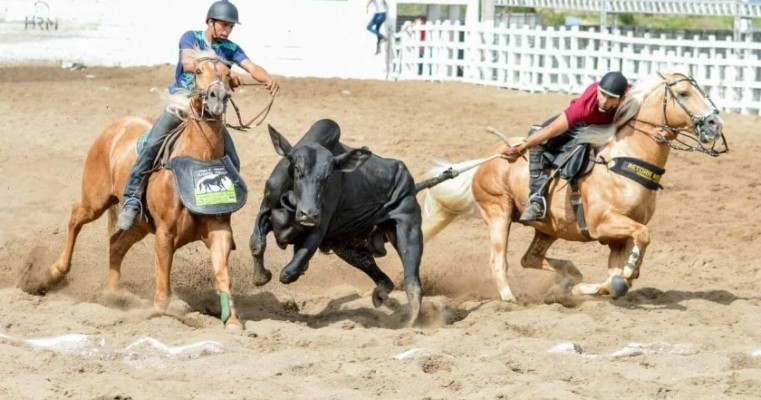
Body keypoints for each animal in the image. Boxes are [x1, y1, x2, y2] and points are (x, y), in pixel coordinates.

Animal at [41, 49, 243, 328]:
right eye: (198, 71)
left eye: (227, 73)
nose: (217, 97)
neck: (199, 160)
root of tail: (116, 126)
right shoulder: (165, 233)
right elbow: (163, 279)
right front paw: (161, 312)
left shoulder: (220, 230)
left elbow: (223, 274)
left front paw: (232, 321)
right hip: (96, 200)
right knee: (76, 217)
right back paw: (54, 272)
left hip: (138, 222)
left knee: (115, 244)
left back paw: (116, 295)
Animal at [249, 118, 448, 324]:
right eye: (297, 169)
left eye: (328, 176)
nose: (309, 214)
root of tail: (407, 178)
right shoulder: (266, 210)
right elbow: (256, 243)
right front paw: (261, 277)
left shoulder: (318, 229)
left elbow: (289, 271)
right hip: (348, 248)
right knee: (385, 280)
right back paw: (379, 296)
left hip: (409, 230)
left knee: (413, 283)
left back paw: (412, 321)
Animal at [422, 72, 724, 302]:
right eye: (683, 93)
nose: (715, 123)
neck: (622, 161)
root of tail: (491, 156)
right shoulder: (604, 223)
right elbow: (642, 239)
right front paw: (629, 271)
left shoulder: (619, 238)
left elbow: (616, 278)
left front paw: (586, 287)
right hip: (498, 213)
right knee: (499, 260)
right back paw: (510, 298)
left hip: (548, 228)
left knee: (529, 259)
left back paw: (568, 277)